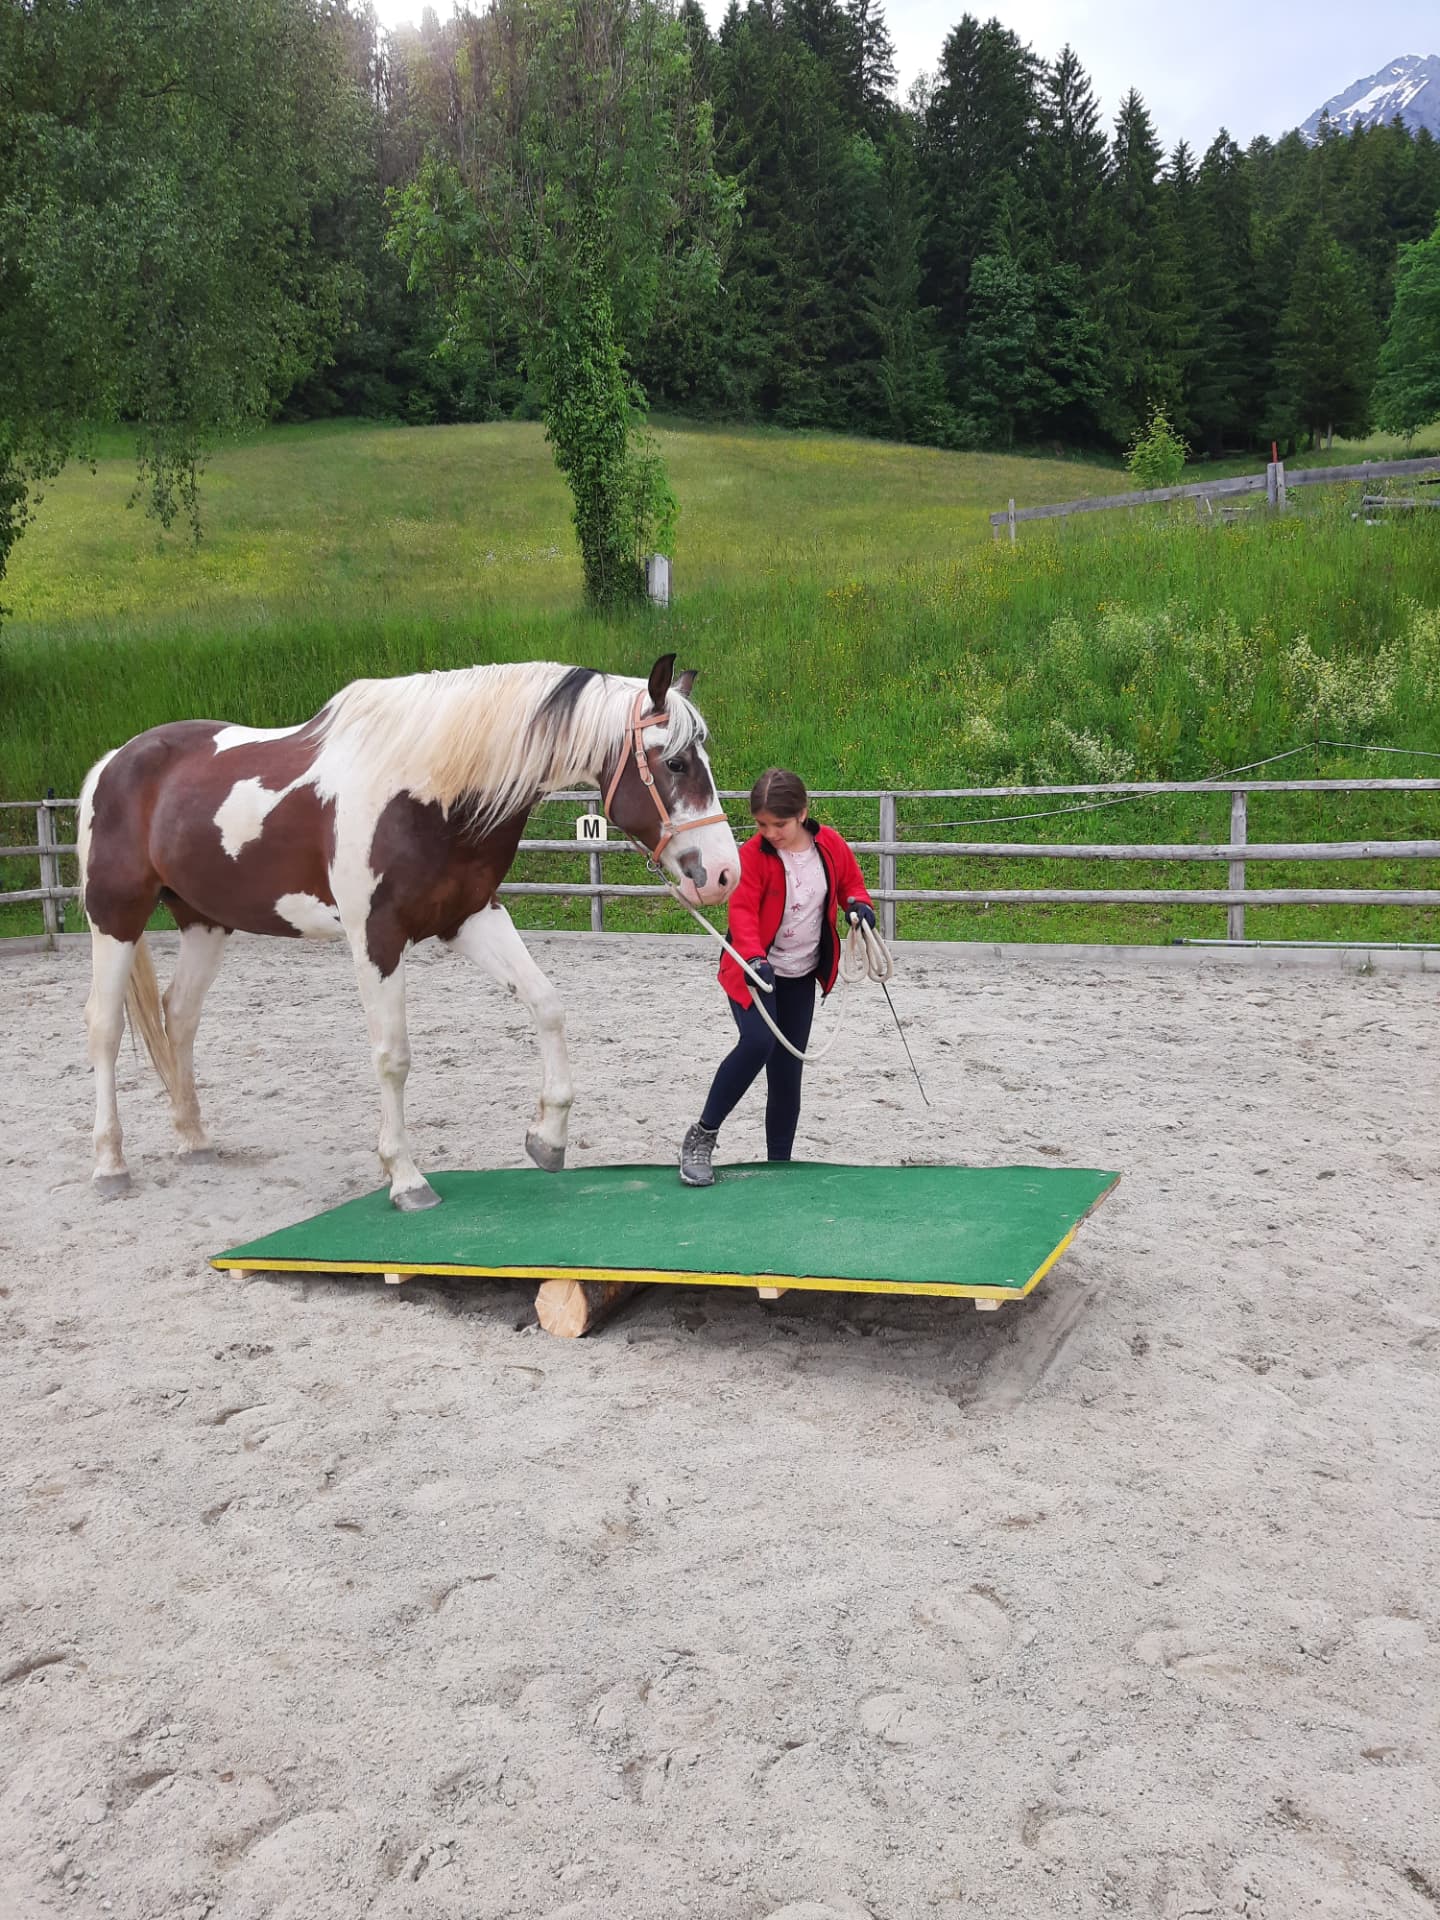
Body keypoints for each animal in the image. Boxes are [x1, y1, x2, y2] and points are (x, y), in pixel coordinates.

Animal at [76, 653, 739, 1208]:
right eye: (675, 761)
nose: (722, 873)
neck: (429, 792)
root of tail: (111, 764)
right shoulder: (376, 938)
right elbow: (393, 1057)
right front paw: (404, 1177)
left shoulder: (472, 918)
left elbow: (547, 1006)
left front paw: (548, 1138)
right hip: (115, 915)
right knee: (105, 1026)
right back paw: (109, 1165)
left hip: (204, 921)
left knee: (180, 1016)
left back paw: (193, 1140)